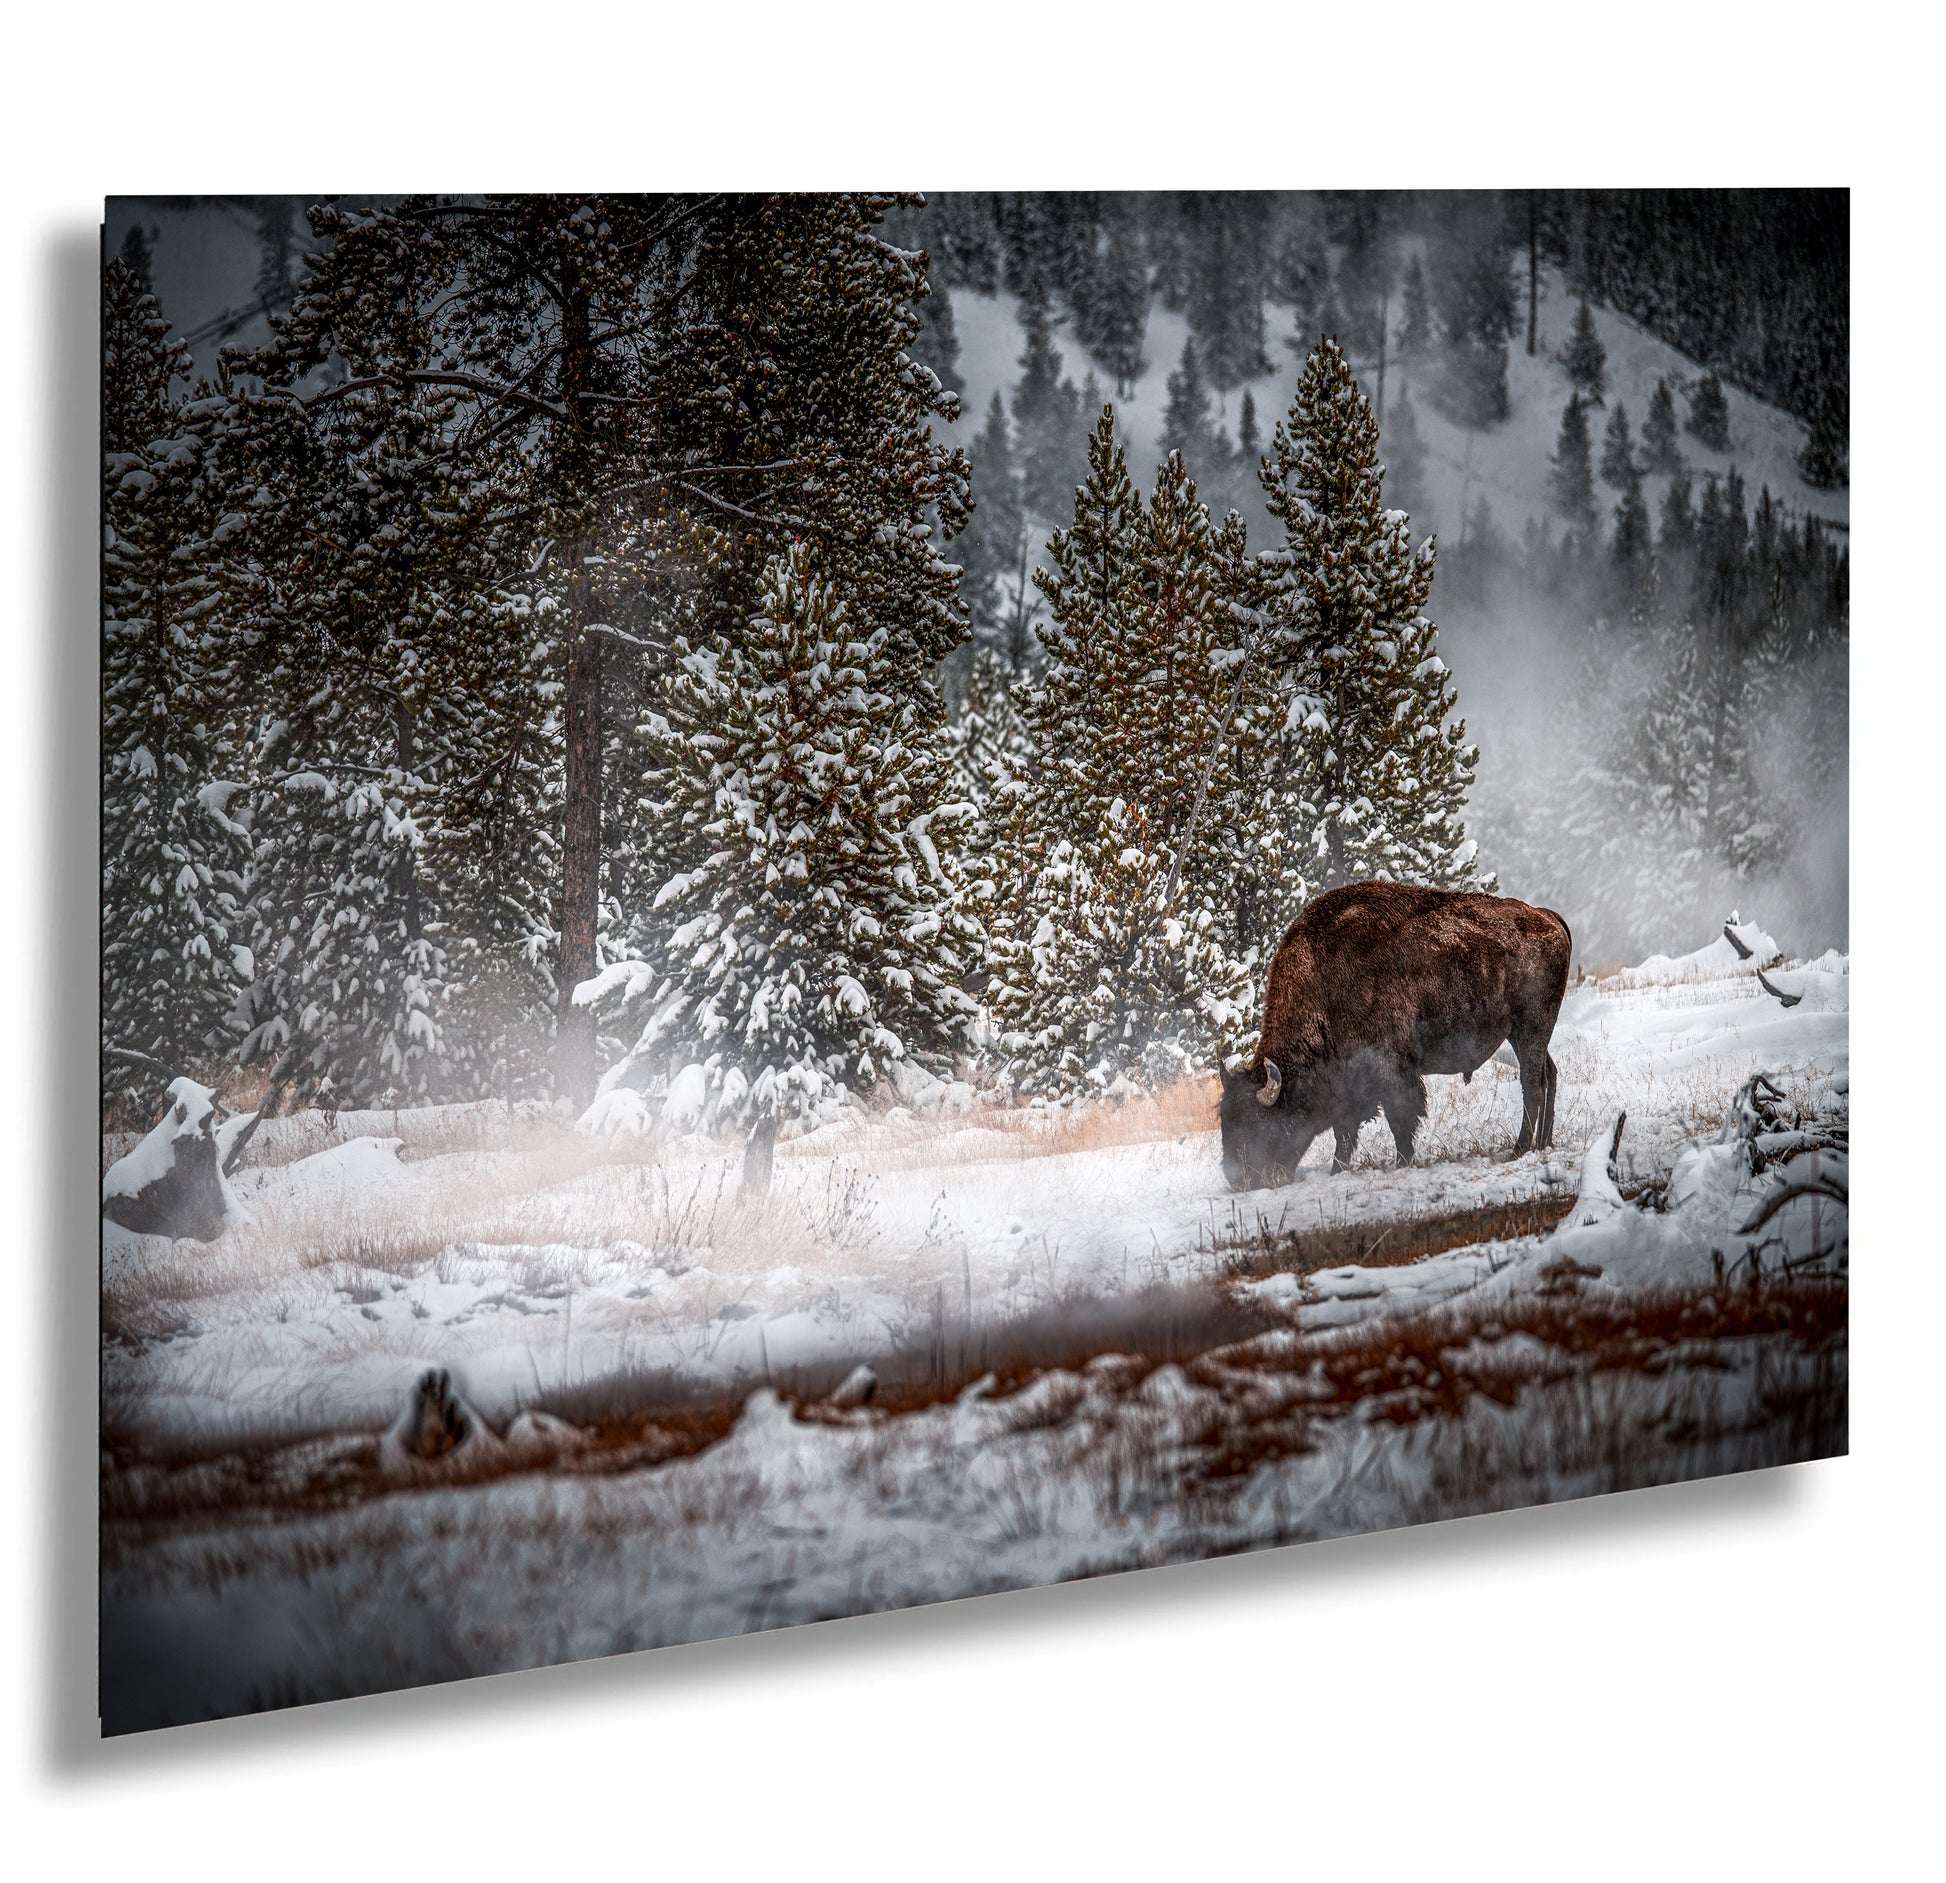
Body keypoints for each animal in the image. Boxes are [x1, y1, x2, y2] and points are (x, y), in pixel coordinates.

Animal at [1222, 887, 1572, 1190]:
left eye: (1260, 1125)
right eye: (1226, 1120)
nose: (1238, 1179)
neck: (1325, 990)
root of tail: (1547, 917)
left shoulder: (1392, 1070)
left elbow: (1399, 1120)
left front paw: (1401, 1163)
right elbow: (1345, 1135)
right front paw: (1338, 1171)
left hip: (1530, 1029)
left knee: (1532, 1085)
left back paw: (1520, 1149)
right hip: (1524, 1036)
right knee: (1549, 1075)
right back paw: (1544, 1143)